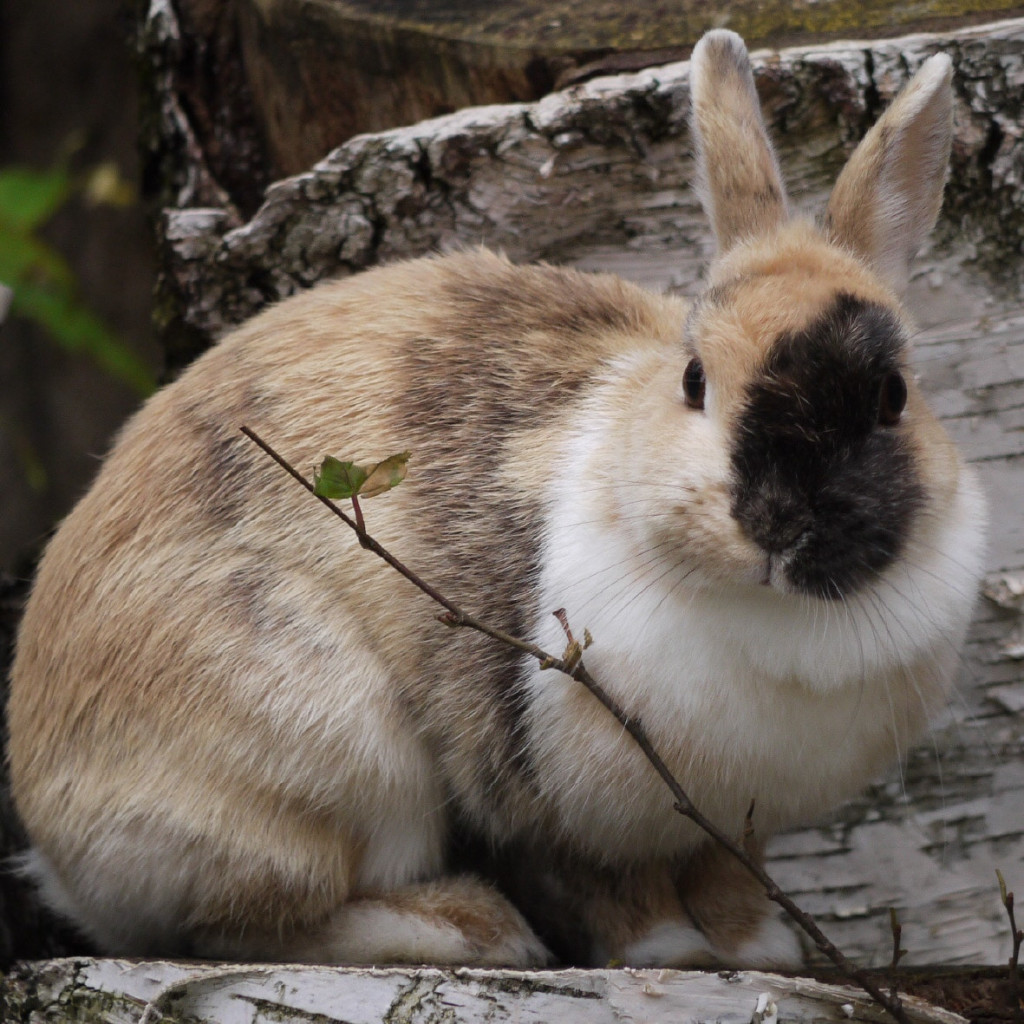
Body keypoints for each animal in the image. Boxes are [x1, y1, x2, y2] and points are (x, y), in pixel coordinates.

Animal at [8, 29, 983, 966]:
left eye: (893, 396)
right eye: (695, 379)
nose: (778, 522)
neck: (767, 616)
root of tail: (55, 840)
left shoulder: (738, 826)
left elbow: (727, 877)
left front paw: (759, 951)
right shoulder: (553, 796)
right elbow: (608, 886)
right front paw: (672, 954)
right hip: (327, 758)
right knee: (246, 924)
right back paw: (468, 928)